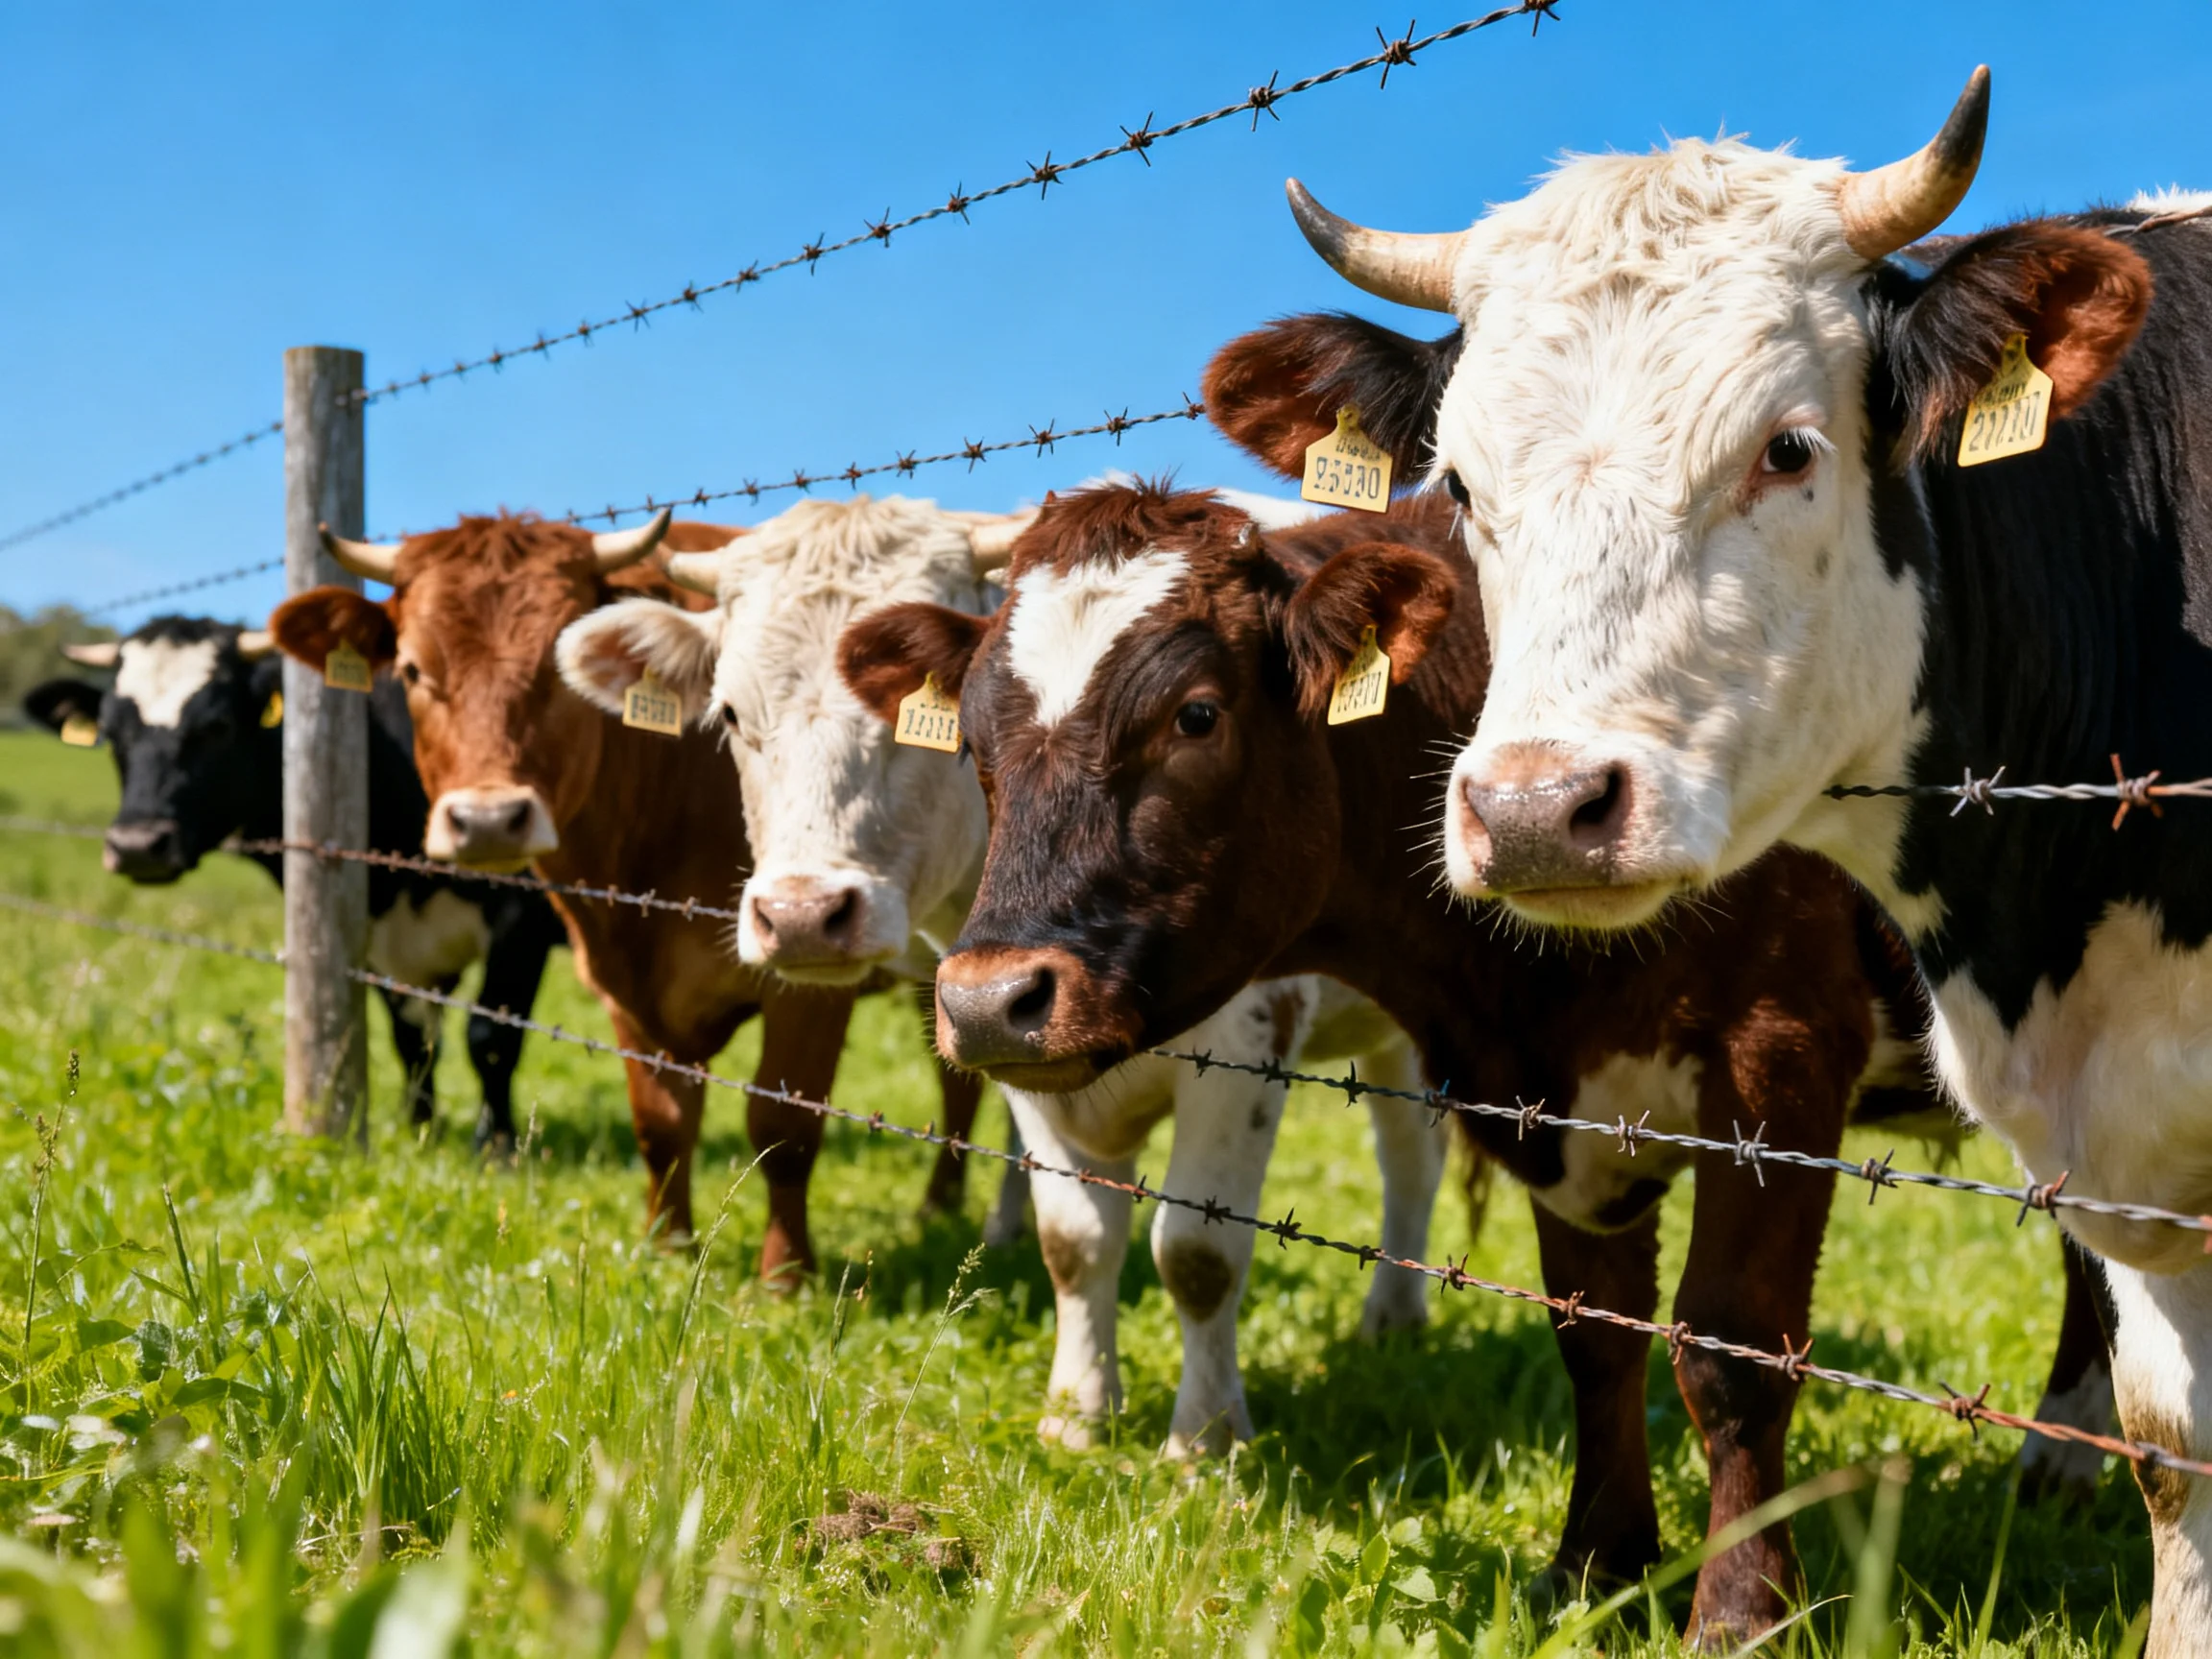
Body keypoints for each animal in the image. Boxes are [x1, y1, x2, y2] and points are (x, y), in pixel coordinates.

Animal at [23, 617, 564, 1146]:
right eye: (111, 734)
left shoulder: (523, 917)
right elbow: (412, 1040)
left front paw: (496, 1147)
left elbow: (491, 1036)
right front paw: (421, 1133)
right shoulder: (384, 939)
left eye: (217, 726)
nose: (136, 845)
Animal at [263, 512, 983, 1277]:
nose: (487, 820)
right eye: (411, 670)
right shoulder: (624, 984)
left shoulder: (809, 977)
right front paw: (667, 1248)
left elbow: (784, 1125)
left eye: (554, 671)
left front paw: (785, 1276)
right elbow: (660, 1122)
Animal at [551, 492, 1448, 1455]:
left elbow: (1197, 1252)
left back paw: (1395, 1315)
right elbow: (1075, 1238)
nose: (799, 915)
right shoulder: (1004, 1023)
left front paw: (1205, 1438)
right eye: (727, 715)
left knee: (1410, 1157)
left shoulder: (1246, 1045)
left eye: (910, 728)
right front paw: (1075, 1416)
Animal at [832, 478, 2107, 1642]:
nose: (990, 1002)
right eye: (975, 741)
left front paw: (1740, 1615)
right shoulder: (1557, 1099)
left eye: (1195, 715)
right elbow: (1596, 1335)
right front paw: (1594, 1569)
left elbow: (1731, 1353)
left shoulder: (1780, 1053)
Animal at [1217, 66, 2212, 1652]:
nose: (1539, 808)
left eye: (1788, 448)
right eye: (1462, 486)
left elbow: (1737, 1343)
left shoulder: (1787, 1055)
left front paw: (1738, 1611)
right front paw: (1595, 1571)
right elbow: (2174, 1437)